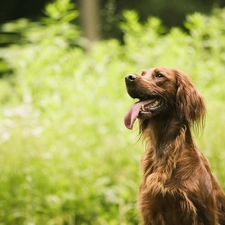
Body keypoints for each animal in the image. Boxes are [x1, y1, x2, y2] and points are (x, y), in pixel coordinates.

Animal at [124, 67, 225, 225]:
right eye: (143, 73)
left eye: (159, 75)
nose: (128, 78)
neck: (164, 149)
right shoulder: (150, 210)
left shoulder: (203, 214)